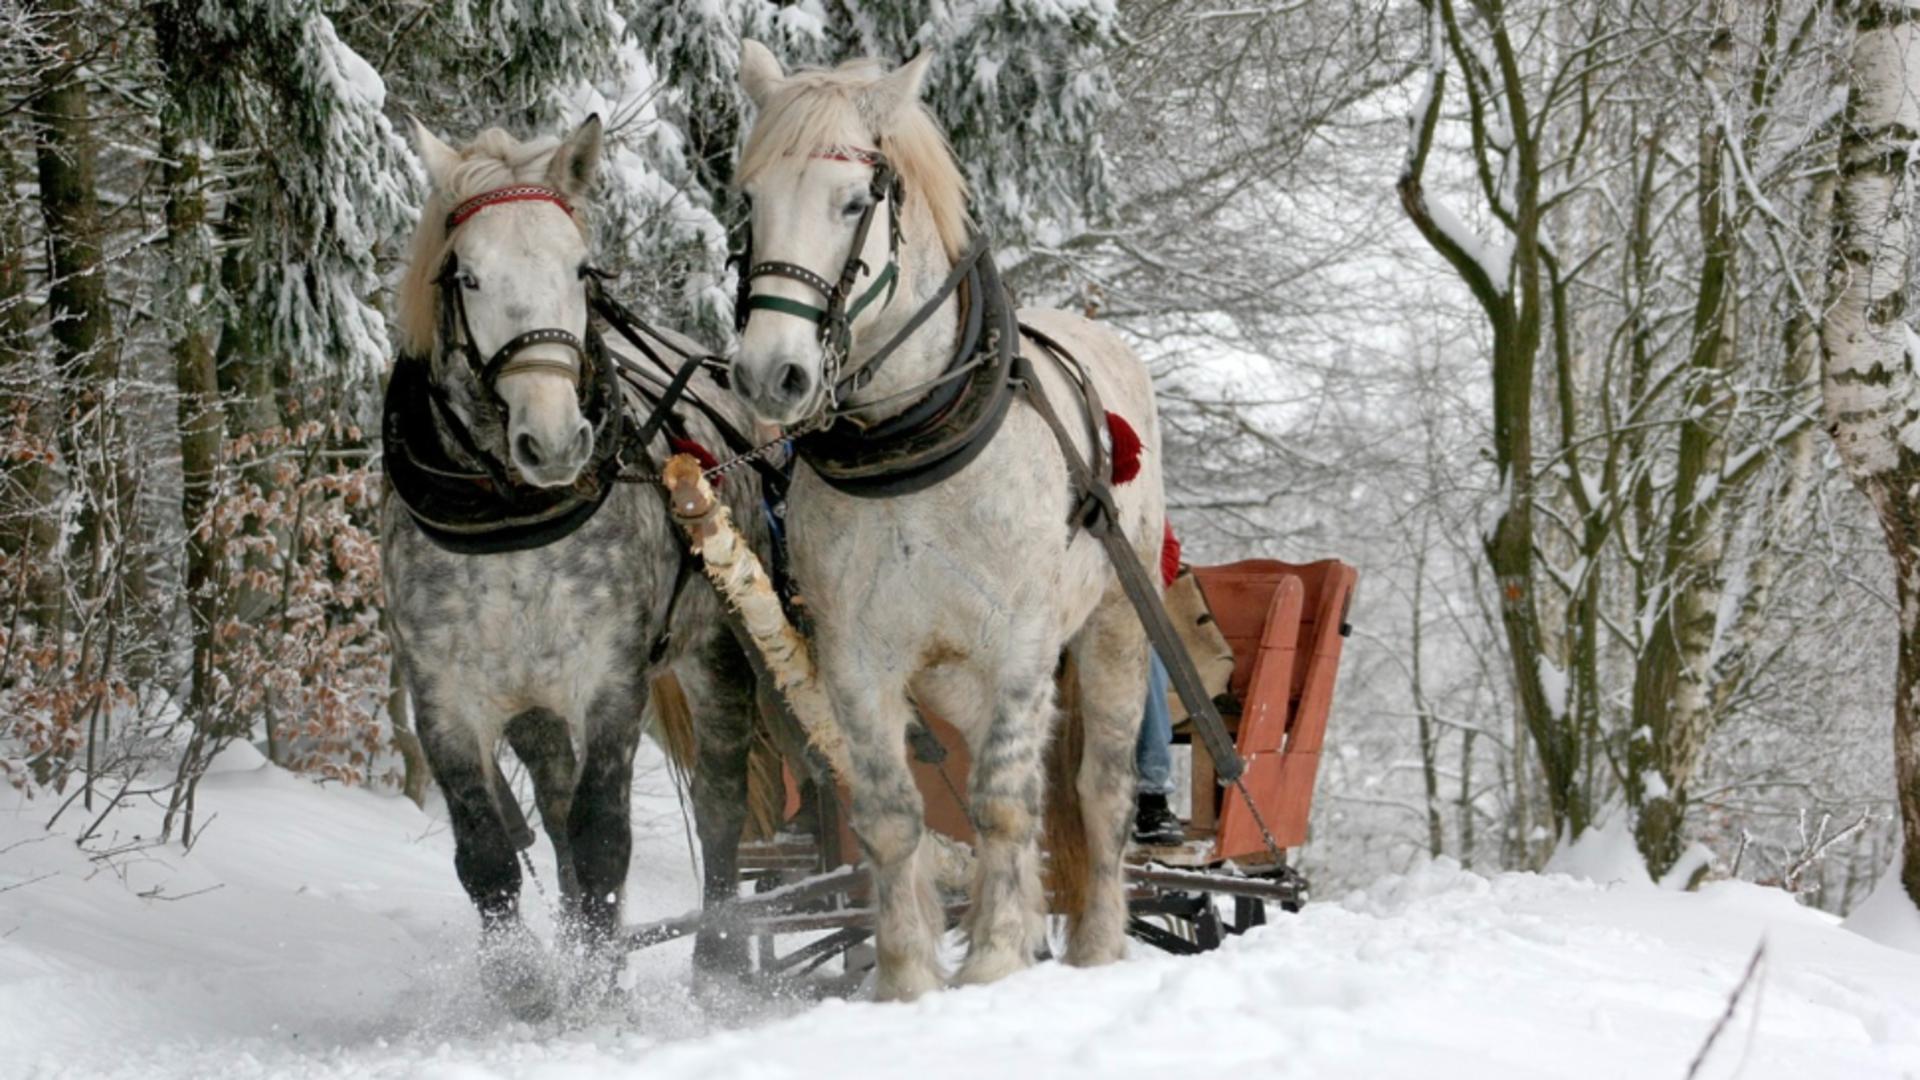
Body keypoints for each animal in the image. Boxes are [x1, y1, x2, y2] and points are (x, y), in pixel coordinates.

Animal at [725, 44, 1159, 999]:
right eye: (750, 201)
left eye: (855, 202)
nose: (771, 375)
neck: (912, 441)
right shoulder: (856, 655)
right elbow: (893, 814)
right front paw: (908, 978)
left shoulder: (1024, 642)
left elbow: (1001, 800)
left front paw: (994, 960)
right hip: (954, 674)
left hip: (1113, 628)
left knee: (1096, 790)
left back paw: (1098, 946)